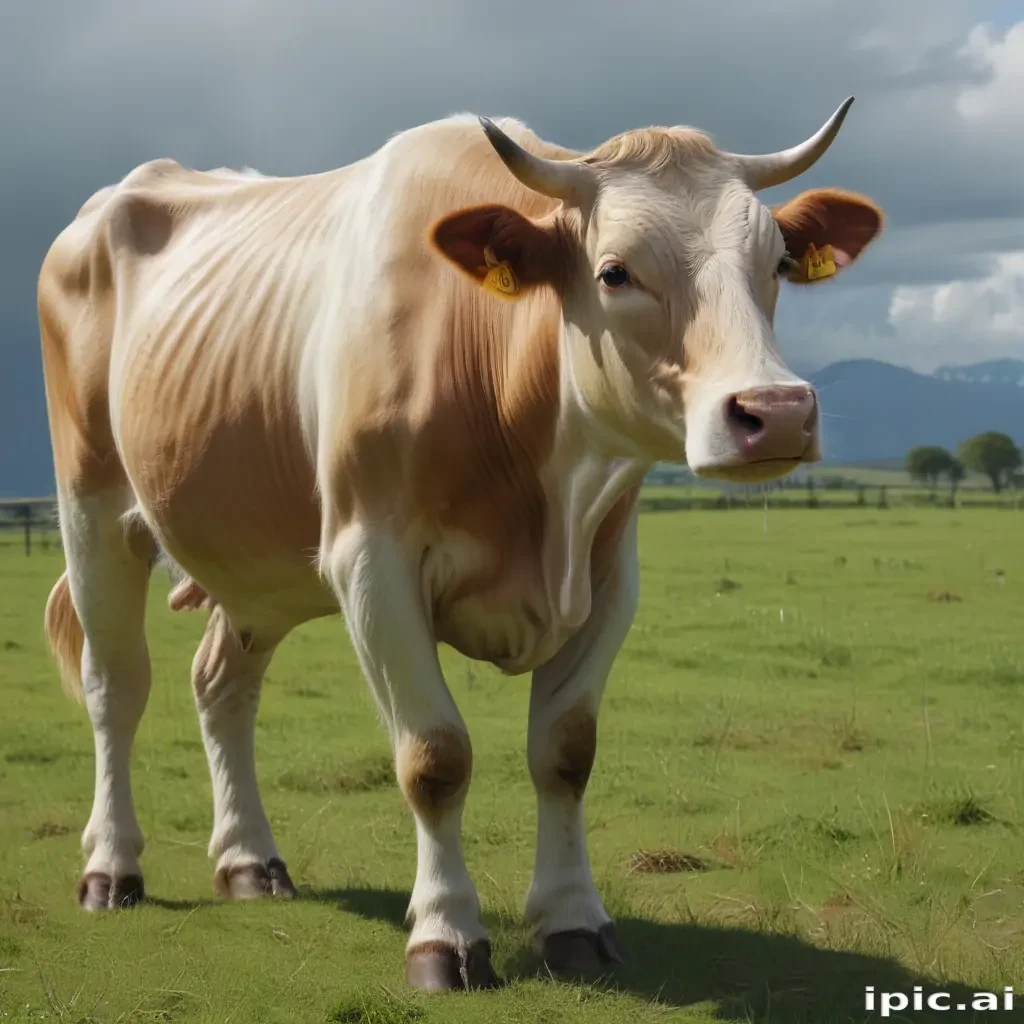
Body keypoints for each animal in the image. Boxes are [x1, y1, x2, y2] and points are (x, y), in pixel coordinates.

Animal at [39, 98, 884, 991]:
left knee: (221, 686)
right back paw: (112, 867)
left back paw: (248, 860)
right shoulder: (371, 562)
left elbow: (565, 753)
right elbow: (434, 757)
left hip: (253, 566)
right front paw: (446, 936)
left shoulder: (608, 575)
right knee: (116, 688)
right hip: (91, 509)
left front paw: (573, 921)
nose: (777, 412)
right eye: (615, 272)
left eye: (778, 261)